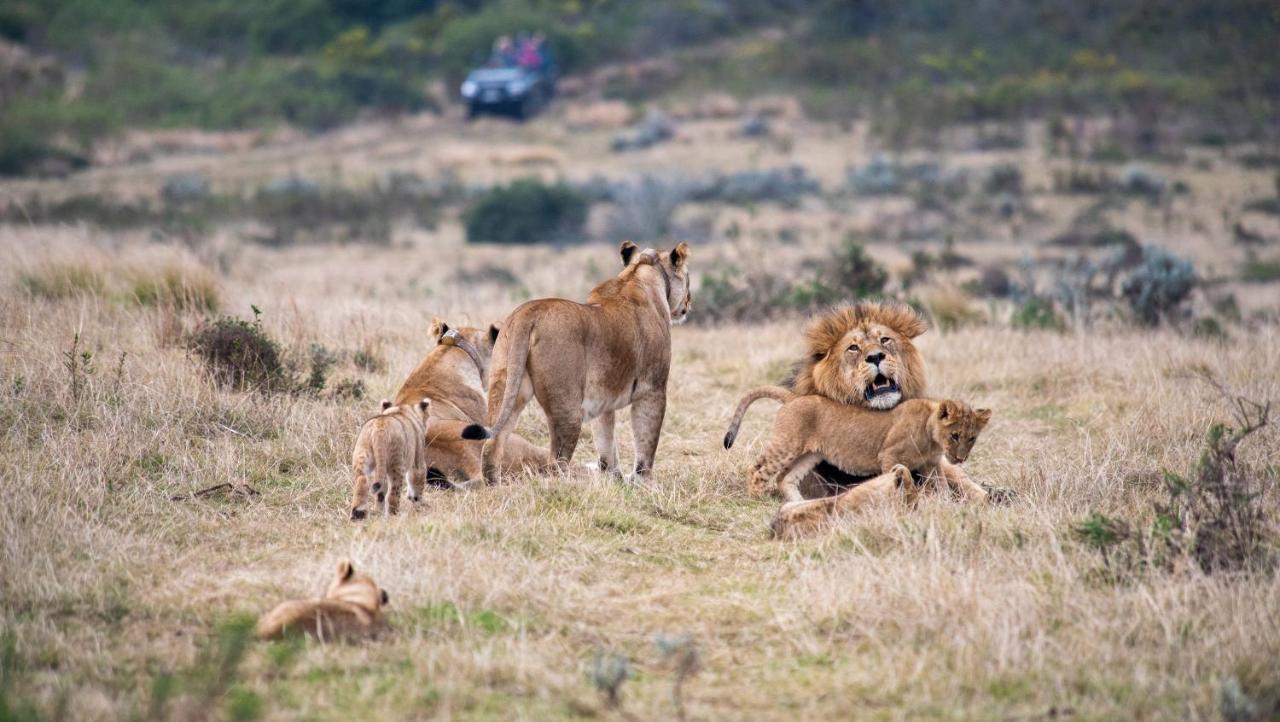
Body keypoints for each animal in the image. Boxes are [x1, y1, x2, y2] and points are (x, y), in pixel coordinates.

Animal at [465, 241, 696, 483]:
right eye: (688, 278)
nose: (690, 301)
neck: (639, 272)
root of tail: (529, 313)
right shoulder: (652, 389)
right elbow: (646, 442)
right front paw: (643, 483)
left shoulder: (604, 399)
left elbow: (606, 442)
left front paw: (614, 479)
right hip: (567, 406)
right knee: (556, 460)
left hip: (506, 386)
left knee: (493, 444)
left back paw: (495, 485)